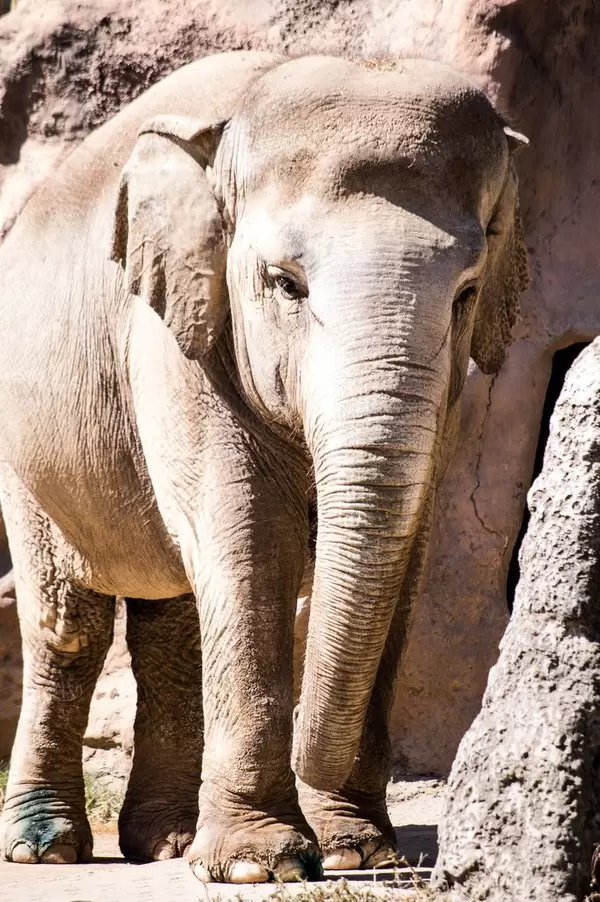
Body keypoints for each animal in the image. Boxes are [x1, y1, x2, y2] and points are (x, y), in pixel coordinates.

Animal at [0, 50, 529, 882]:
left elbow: (406, 558)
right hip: (23, 449)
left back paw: (167, 841)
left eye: (467, 293)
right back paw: (45, 850)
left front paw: (354, 849)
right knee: (68, 624)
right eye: (285, 283)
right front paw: (263, 865)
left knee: (171, 625)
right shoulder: (174, 333)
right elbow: (249, 541)